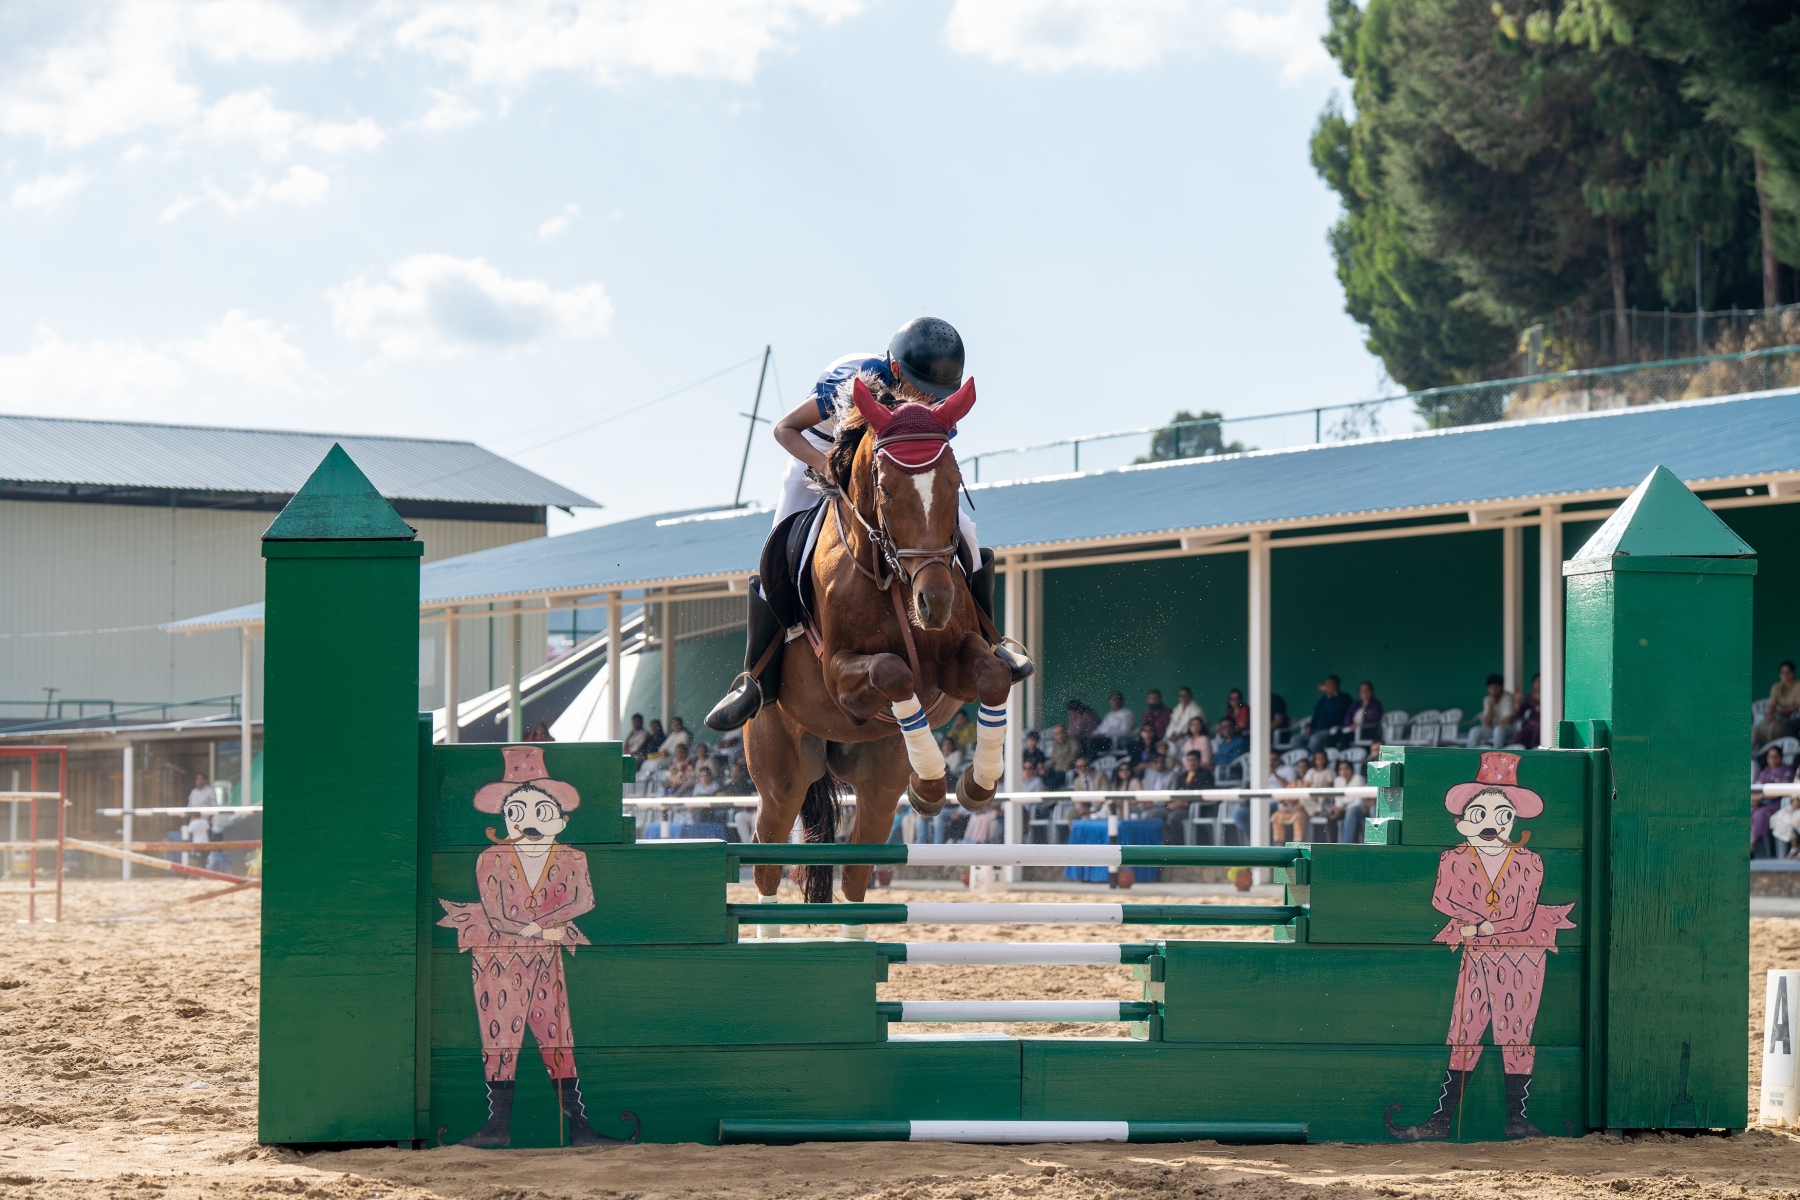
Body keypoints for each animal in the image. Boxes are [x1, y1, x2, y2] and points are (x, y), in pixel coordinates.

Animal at [742, 377, 1016, 910]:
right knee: (766, 857)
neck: (887, 574)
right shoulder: (840, 677)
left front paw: (972, 784)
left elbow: (992, 675)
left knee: (855, 873)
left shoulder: (954, 664)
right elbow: (893, 670)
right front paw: (931, 781)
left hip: (878, 786)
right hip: (781, 778)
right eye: (886, 489)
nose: (935, 603)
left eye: (954, 482)